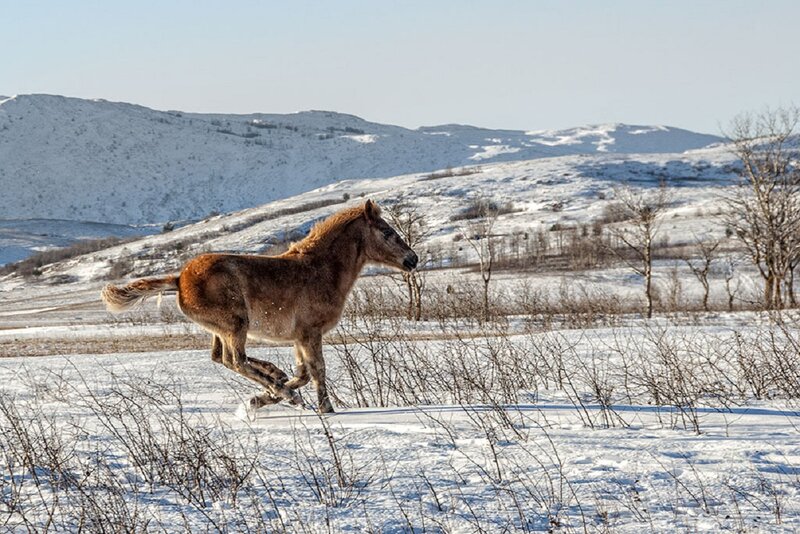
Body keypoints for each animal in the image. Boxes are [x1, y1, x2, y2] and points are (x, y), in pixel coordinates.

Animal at [101, 200, 417, 414]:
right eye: (387, 233)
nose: (412, 259)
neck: (321, 270)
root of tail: (179, 279)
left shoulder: (298, 337)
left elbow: (303, 373)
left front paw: (263, 398)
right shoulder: (310, 333)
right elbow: (317, 370)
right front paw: (322, 407)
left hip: (221, 329)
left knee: (221, 358)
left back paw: (274, 378)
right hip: (236, 324)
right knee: (235, 360)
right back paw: (279, 387)